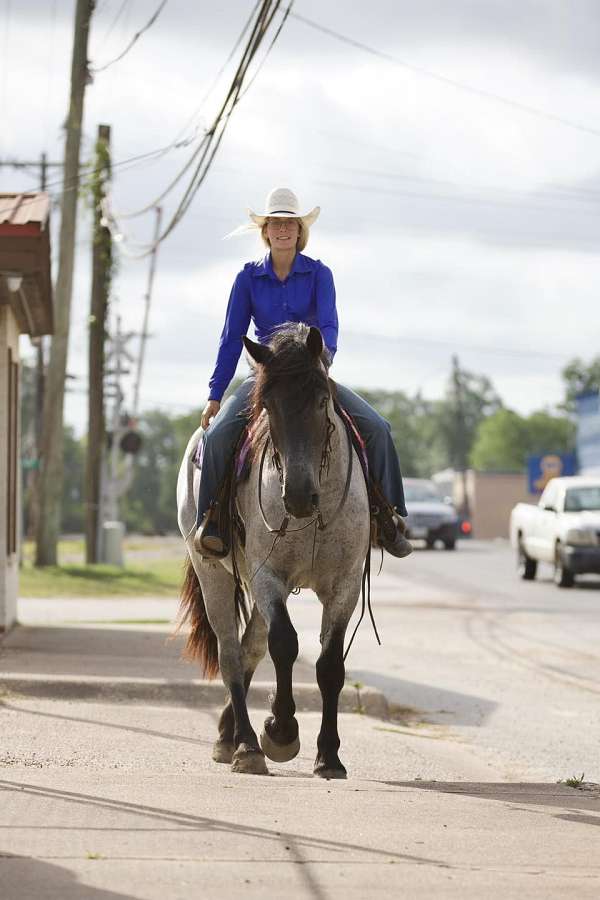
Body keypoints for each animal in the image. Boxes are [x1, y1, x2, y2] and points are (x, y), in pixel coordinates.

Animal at [176, 326, 368, 780]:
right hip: (215, 575)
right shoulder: (268, 578)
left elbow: (329, 665)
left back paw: (228, 734)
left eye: (321, 399)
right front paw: (280, 732)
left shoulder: (346, 584)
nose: (297, 494)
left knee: (249, 649)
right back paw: (245, 744)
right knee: (231, 654)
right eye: (267, 405)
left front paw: (329, 756)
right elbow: (285, 645)